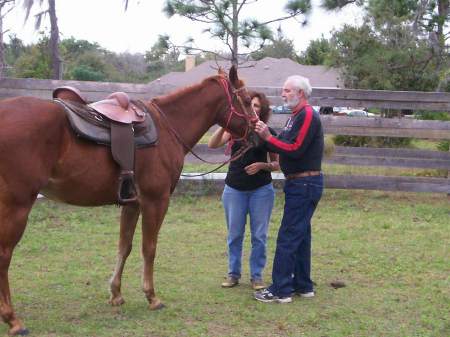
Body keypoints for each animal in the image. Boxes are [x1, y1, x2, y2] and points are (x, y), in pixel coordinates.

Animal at [0, 65, 255, 334]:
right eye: (248, 101)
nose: (258, 132)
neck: (168, 127)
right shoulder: (156, 201)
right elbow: (149, 248)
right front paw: (152, 296)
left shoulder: (132, 204)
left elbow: (125, 246)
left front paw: (116, 293)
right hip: (17, 206)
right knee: (4, 256)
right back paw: (13, 319)